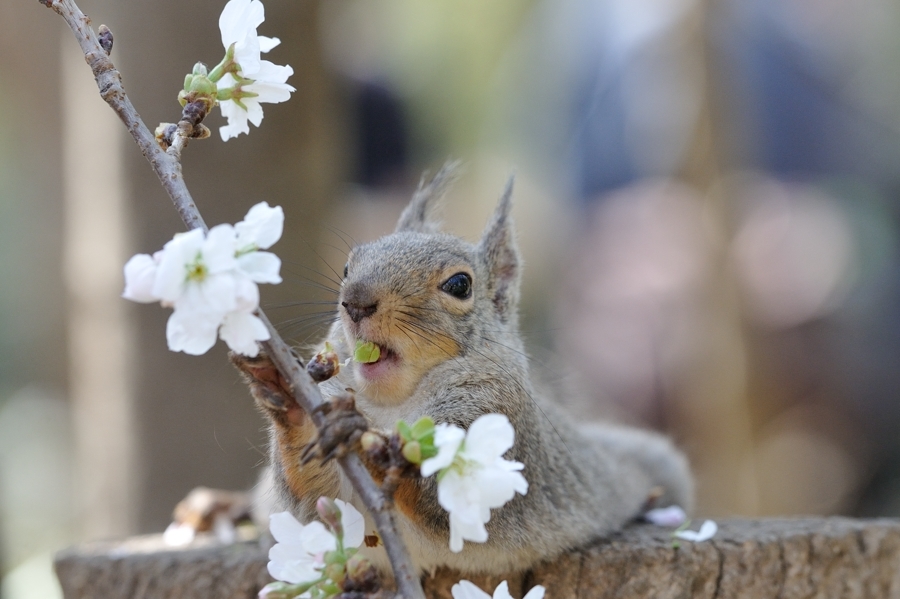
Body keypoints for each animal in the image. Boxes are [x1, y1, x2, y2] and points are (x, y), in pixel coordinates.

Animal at [230, 164, 688, 576]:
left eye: (459, 285)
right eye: (347, 267)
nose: (356, 300)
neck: (391, 404)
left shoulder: (497, 413)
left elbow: (443, 500)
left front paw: (367, 441)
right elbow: (313, 498)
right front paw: (285, 396)